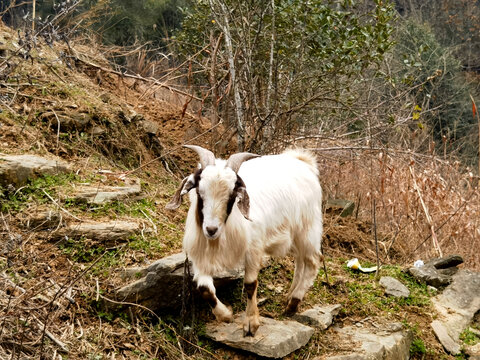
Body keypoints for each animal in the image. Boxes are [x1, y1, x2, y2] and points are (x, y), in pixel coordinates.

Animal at [168, 145, 322, 336]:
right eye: (199, 192)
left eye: (232, 195)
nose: (211, 229)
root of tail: (303, 162)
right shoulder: (200, 257)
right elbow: (204, 289)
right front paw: (225, 315)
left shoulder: (254, 250)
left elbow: (250, 284)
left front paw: (251, 323)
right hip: (294, 236)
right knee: (300, 261)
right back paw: (290, 295)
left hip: (308, 229)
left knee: (312, 262)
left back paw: (293, 303)